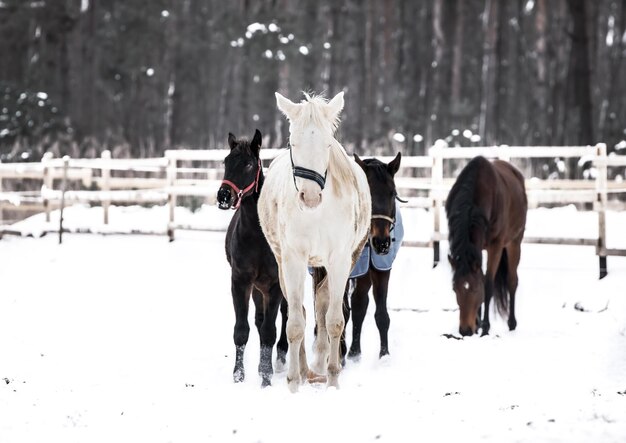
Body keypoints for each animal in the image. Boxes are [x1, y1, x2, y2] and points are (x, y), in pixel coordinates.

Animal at [216, 130, 286, 386]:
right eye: (226, 161)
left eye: (248, 164)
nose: (223, 196)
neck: (258, 235)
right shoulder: (241, 281)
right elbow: (242, 329)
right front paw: (239, 374)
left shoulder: (275, 284)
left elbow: (269, 331)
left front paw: (266, 376)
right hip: (258, 288)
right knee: (259, 319)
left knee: (286, 317)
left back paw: (281, 359)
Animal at [258, 91, 370, 392]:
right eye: (292, 143)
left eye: (327, 143)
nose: (309, 197)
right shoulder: (293, 260)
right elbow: (295, 323)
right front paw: (293, 383)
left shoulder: (340, 260)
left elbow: (334, 321)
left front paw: (332, 380)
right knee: (302, 311)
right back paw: (305, 370)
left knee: (321, 304)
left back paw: (320, 366)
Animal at [338, 153, 402, 360]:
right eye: (368, 194)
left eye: (392, 193)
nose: (381, 242)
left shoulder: (381, 268)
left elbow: (380, 314)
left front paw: (384, 356)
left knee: (359, 303)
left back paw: (354, 352)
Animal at [444, 156, 528, 336]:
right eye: (454, 289)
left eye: (476, 290)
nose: (465, 330)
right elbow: (481, 277)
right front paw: (478, 324)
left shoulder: (495, 246)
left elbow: (488, 284)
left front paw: (485, 327)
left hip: (514, 243)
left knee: (512, 281)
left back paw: (511, 323)